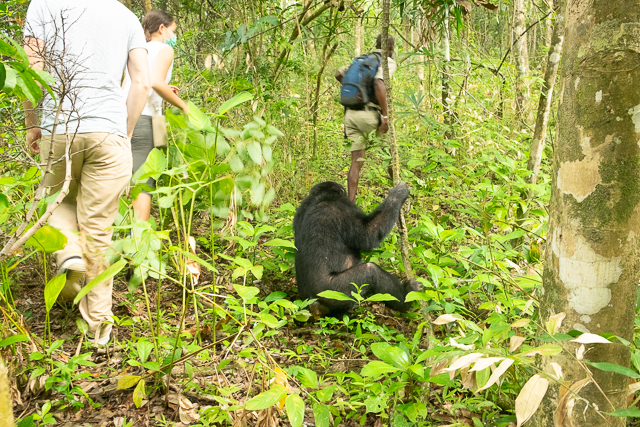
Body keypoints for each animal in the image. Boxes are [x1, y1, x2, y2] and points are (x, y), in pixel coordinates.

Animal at [292, 181, 420, 318]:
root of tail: (313, 304)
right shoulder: (341, 210)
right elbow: (368, 233)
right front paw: (397, 194)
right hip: (335, 292)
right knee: (371, 271)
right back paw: (406, 297)